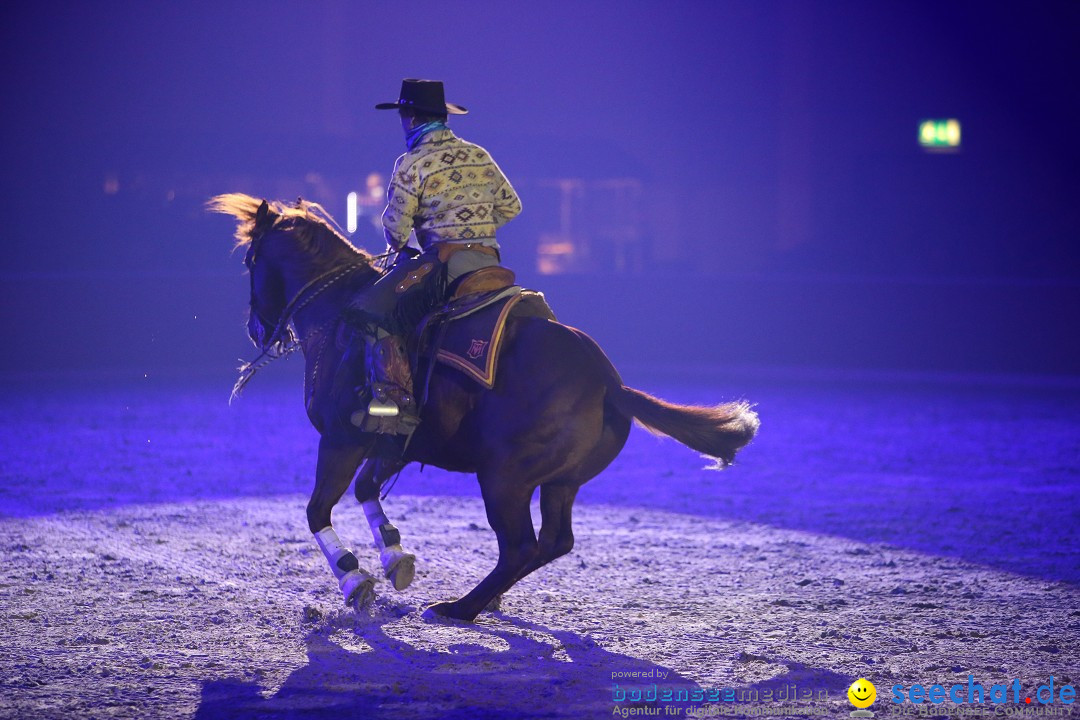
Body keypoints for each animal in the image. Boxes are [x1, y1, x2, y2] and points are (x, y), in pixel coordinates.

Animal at [206, 194, 756, 621]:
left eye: (249, 260)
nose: (256, 329)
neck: (338, 317)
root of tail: (608, 382)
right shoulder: (393, 442)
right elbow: (366, 490)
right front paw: (395, 558)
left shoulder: (341, 439)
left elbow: (317, 509)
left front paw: (354, 581)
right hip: (559, 481)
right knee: (554, 541)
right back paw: (484, 600)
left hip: (505, 478)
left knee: (520, 545)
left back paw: (461, 607)